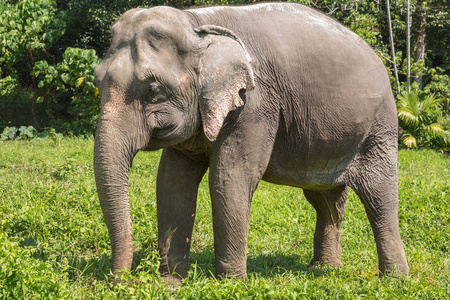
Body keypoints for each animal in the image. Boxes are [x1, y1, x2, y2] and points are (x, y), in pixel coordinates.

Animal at [93, 1, 410, 284]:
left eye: (153, 90)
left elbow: (229, 178)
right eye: (97, 81)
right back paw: (324, 270)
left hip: (378, 129)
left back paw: (394, 280)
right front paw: (170, 283)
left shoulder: (255, 103)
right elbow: (172, 180)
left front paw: (229, 284)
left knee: (379, 197)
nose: (121, 282)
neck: (197, 22)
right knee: (325, 199)